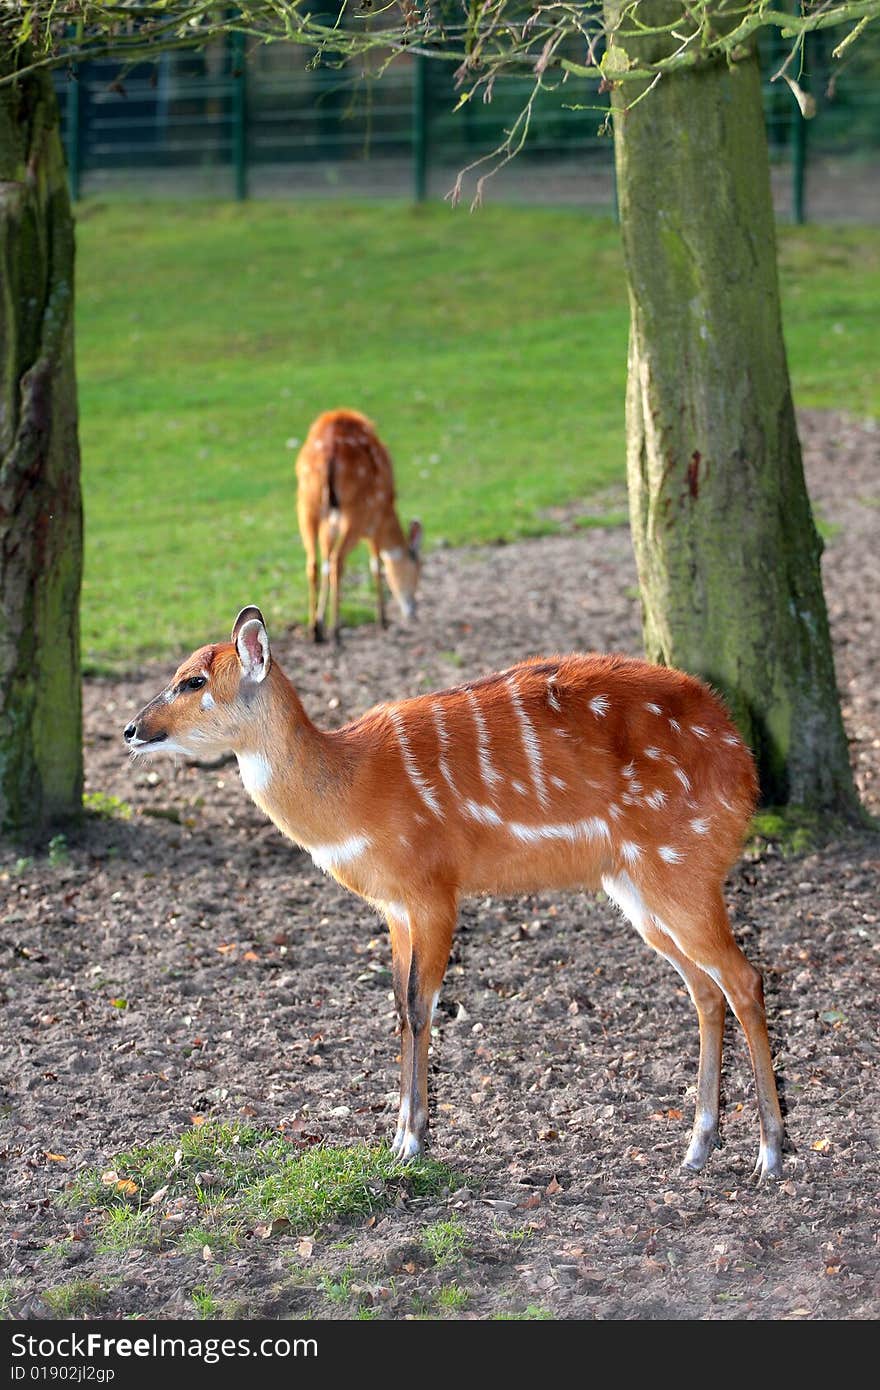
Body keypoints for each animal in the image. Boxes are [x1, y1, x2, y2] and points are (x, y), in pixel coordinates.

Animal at [121, 603, 784, 1178]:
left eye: (193, 680)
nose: (131, 729)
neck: (352, 791)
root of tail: (746, 766)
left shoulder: (434, 890)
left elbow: (422, 1005)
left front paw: (411, 1143)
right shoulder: (393, 907)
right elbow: (397, 1005)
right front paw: (397, 1136)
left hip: (682, 868)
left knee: (744, 978)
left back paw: (770, 1155)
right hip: (637, 887)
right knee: (705, 988)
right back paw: (696, 1148)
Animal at [293, 408, 422, 642]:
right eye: (418, 569)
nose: (413, 610)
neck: (389, 510)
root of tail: (330, 452)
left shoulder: (331, 524)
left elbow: (325, 559)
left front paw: (320, 622)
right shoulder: (375, 518)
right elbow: (376, 564)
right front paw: (383, 620)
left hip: (307, 503)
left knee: (315, 562)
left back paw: (315, 631)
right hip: (356, 510)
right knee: (337, 561)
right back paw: (336, 632)